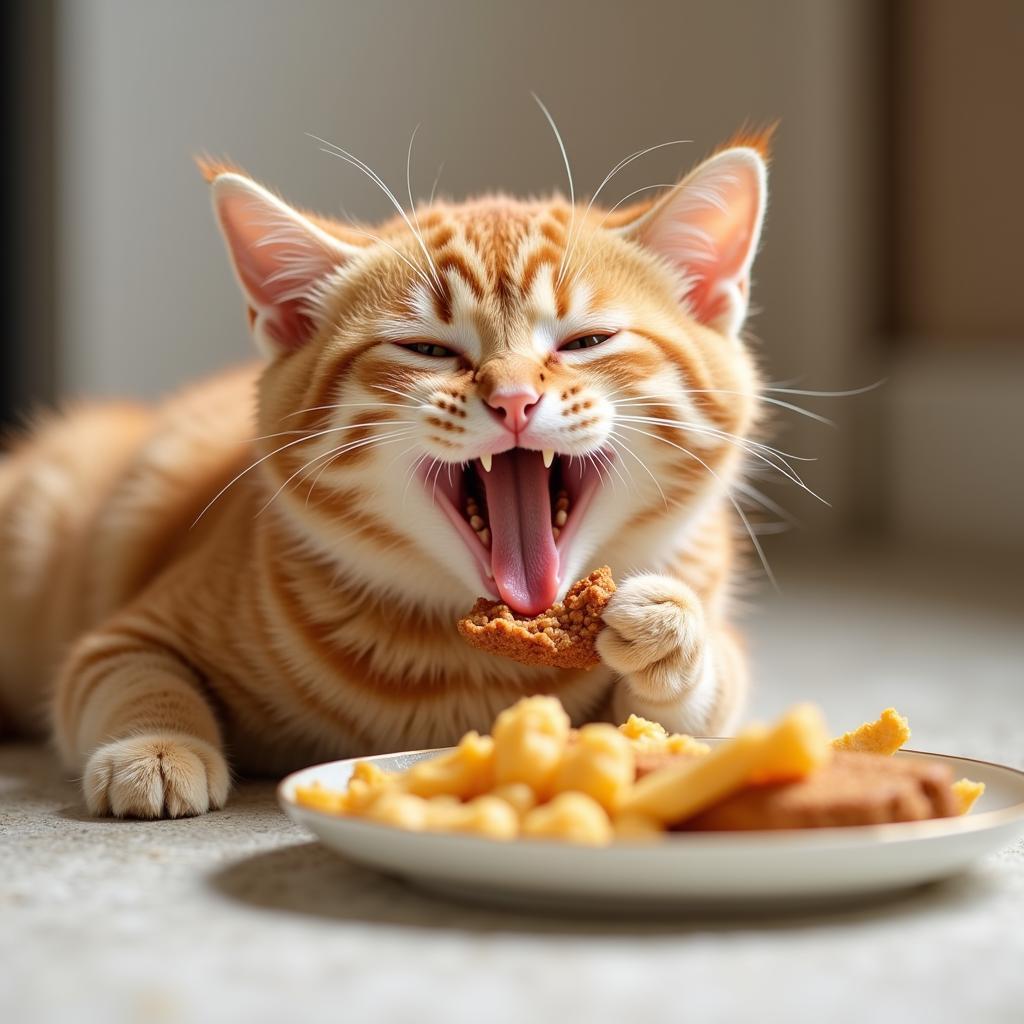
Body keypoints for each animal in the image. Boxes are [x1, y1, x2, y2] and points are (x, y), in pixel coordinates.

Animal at [0, 130, 770, 815]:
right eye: (428, 349)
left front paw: (670, 628)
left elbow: (702, 710)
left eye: (587, 341)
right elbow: (133, 678)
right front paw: (154, 748)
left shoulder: (717, 675)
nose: (513, 397)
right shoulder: (125, 636)